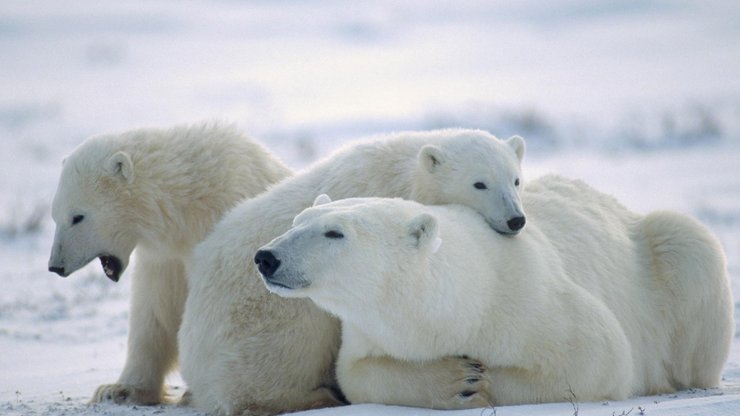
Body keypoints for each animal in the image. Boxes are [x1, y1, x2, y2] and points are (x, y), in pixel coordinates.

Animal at [47, 122, 292, 404]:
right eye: (54, 216)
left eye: (78, 217)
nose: (55, 266)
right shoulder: (165, 259)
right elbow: (154, 311)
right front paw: (118, 389)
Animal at [178, 128, 528, 414]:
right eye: (479, 183)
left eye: (516, 179)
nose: (516, 220)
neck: (404, 173)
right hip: (258, 321)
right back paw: (315, 397)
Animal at [258, 177, 732, 408]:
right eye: (298, 220)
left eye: (334, 232)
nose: (266, 257)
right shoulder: (369, 332)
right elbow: (357, 374)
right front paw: (457, 381)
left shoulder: (531, 301)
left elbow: (598, 358)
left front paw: (480, 382)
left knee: (688, 242)